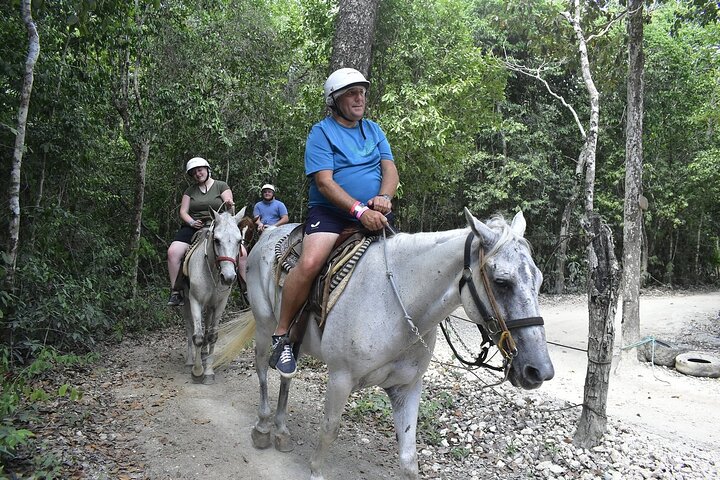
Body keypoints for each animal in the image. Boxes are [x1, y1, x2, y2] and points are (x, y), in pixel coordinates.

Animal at [182, 206, 250, 384]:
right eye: (217, 240)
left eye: (239, 241)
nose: (228, 277)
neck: (212, 270)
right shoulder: (195, 301)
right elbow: (198, 336)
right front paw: (197, 371)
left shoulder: (219, 304)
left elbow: (212, 336)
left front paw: (209, 372)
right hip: (186, 301)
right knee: (189, 327)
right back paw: (190, 361)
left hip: (210, 306)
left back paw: (204, 355)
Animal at [218, 207, 554, 479]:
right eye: (502, 282)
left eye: (538, 280)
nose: (540, 371)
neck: (396, 303)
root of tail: (266, 235)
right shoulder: (340, 379)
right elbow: (328, 431)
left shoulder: (407, 387)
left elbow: (408, 458)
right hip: (266, 328)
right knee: (263, 372)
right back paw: (263, 429)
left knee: (286, 377)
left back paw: (281, 431)